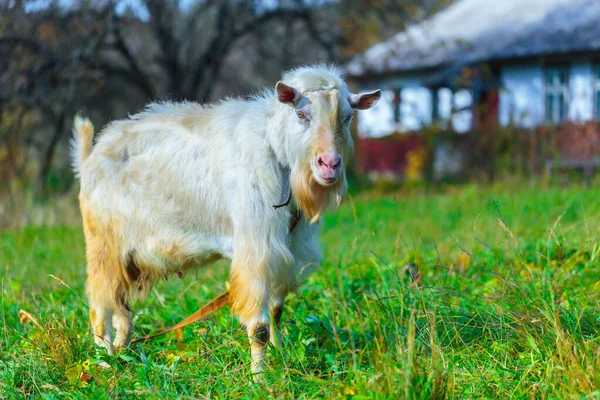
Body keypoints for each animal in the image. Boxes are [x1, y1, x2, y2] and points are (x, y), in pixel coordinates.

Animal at [70, 65, 380, 376]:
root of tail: (89, 159)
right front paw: (259, 377)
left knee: (121, 309)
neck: (274, 150)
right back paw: (105, 362)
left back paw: (123, 353)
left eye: (347, 117)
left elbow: (277, 311)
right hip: (102, 249)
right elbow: (259, 327)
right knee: (100, 307)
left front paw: (281, 357)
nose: (329, 164)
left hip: (128, 260)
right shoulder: (256, 252)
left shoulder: (285, 250)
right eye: (302, 114)